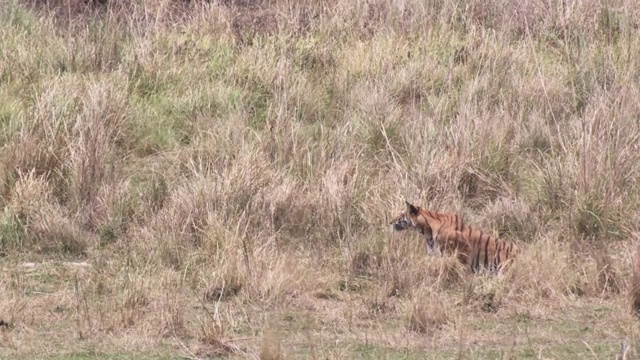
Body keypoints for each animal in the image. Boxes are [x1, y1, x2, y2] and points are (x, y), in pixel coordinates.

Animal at [388, 201, 516, 274]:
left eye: (401, 214)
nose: (390, 222)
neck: (426, 232)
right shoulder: (431, 255)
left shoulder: (465, 249)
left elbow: (462, 268)